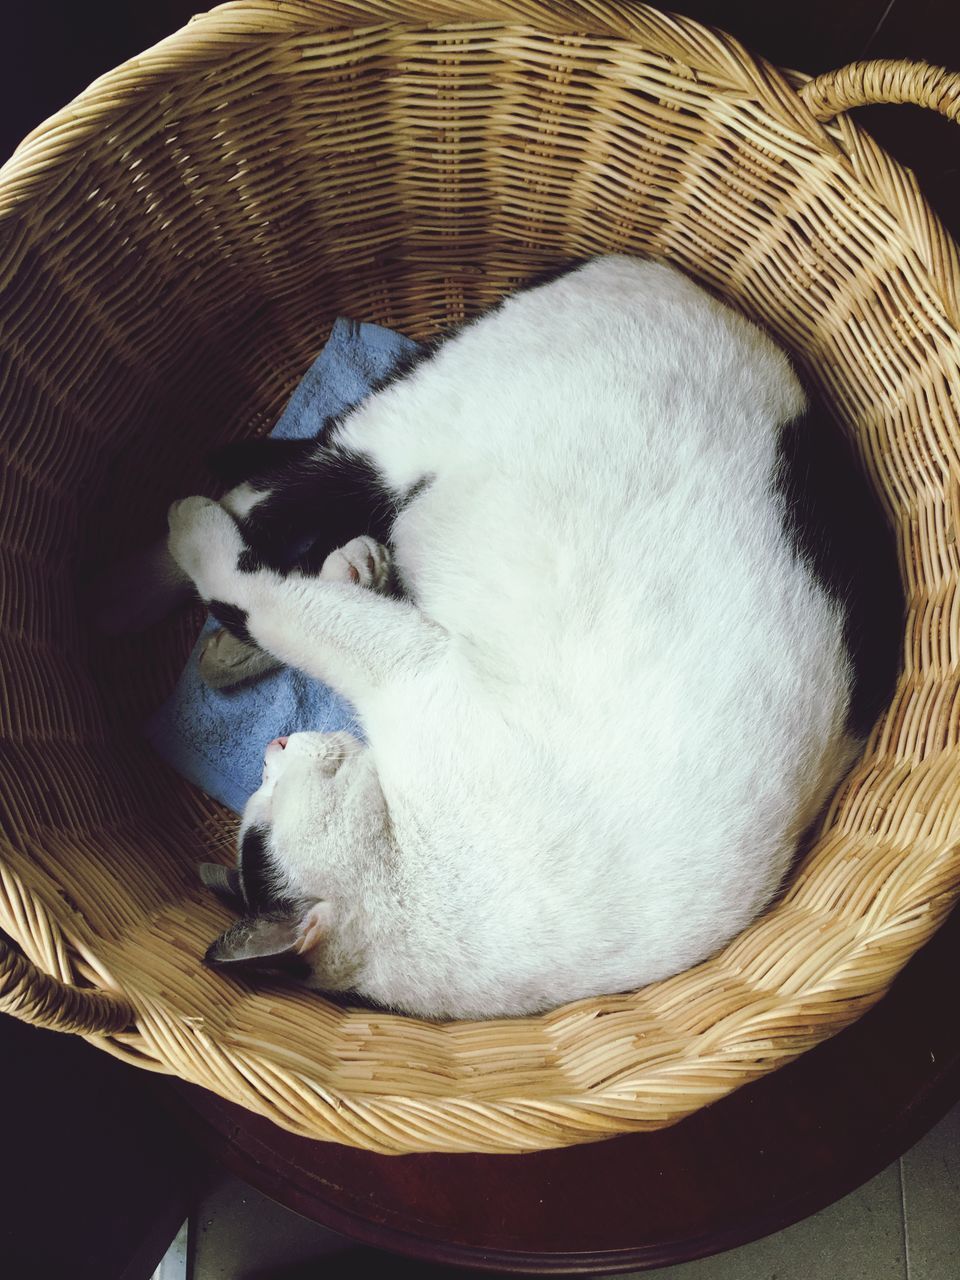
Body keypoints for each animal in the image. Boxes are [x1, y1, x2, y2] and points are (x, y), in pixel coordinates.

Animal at [116, 257, 906, 1018]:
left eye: (263, 796)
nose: (276, 746)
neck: (413, 912)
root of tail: (671, 279)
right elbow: (276, 590)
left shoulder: (411, 662)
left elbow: (266, 597)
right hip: (397, 435)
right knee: (267, 495)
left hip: (395, 438)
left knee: (265, 500)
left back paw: (168, 556)